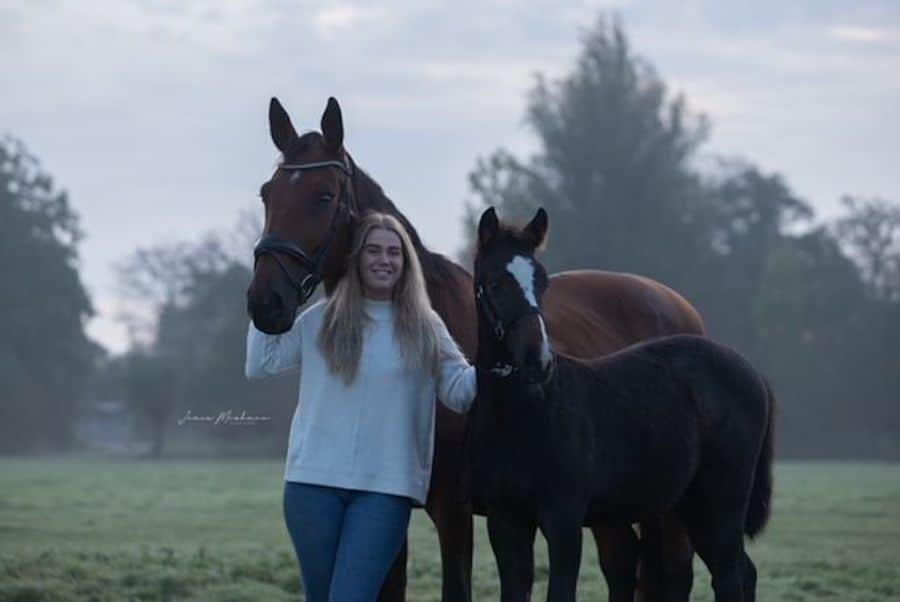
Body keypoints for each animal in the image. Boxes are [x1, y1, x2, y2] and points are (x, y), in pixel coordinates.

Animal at [244, 96, 704, 596]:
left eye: (324, 195)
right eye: (268, 194)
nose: (266, 302)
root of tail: (680, 307)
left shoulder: (456, 511)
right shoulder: (392, 508)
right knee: (622, 562)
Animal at [472, 207, 772, 600]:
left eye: (542, 284)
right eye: (494, 284)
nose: (539, 361)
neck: (525, 416)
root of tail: (752, 372)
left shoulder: (564, 521)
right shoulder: (506, 522)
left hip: (720, 502)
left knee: (728, 575)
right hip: (690, 505)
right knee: (742, 571)